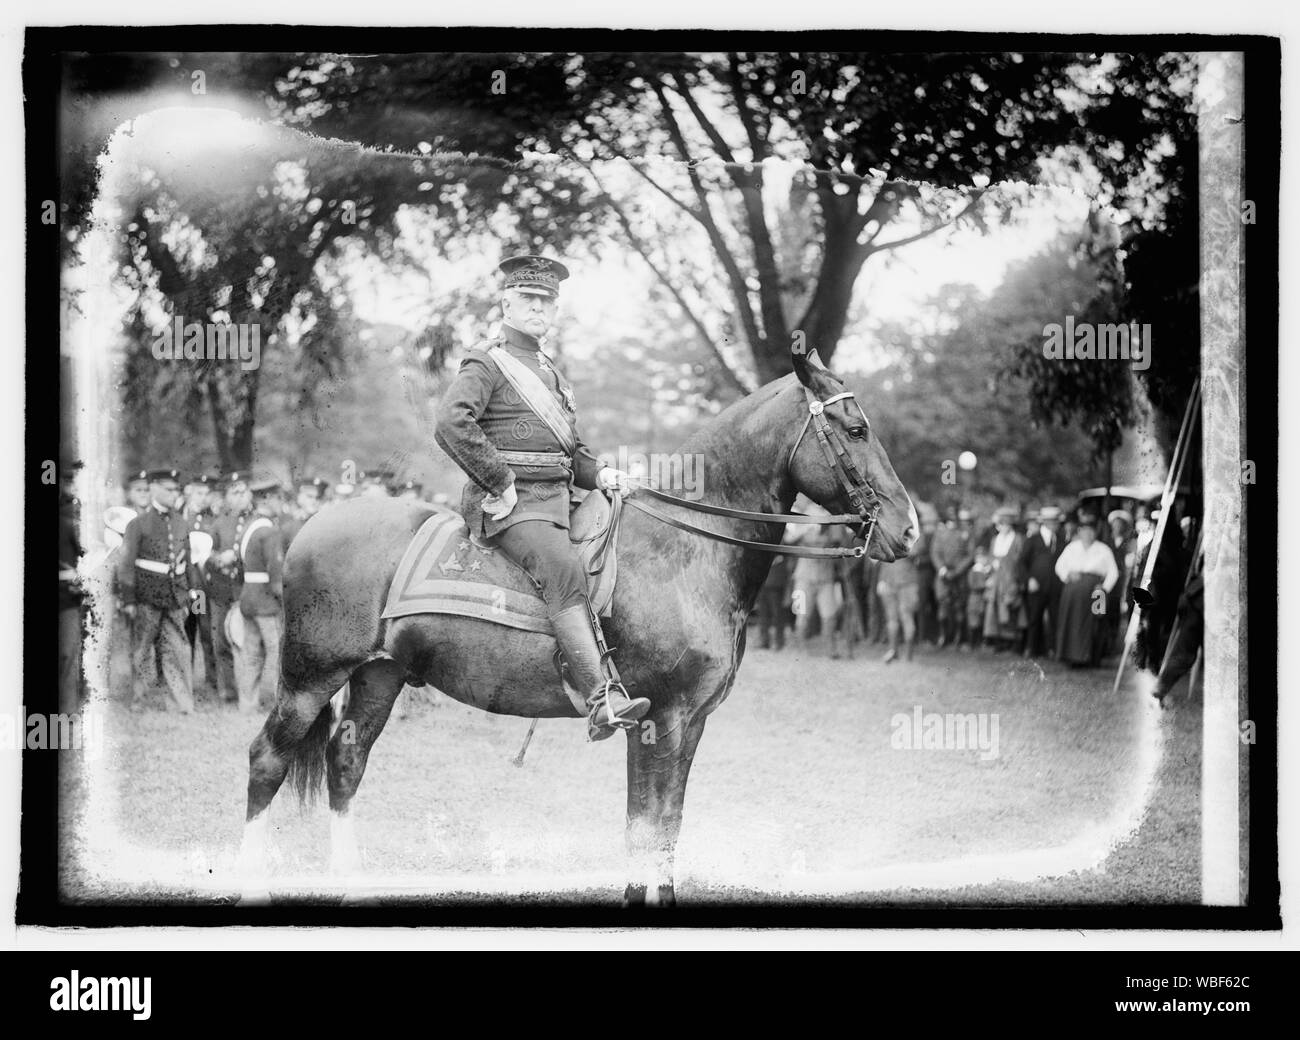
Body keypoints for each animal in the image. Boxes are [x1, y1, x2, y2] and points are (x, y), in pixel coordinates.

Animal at [239, 353, 920, 904]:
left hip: (379, 677)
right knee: (268, 760)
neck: (682, 548)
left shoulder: (687, 723)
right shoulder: (660, 718)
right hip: (309, 678)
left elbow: (662, 825)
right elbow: (648, 828)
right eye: (856, 429)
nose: (908, 528)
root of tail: (309, 526)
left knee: (346, 761)